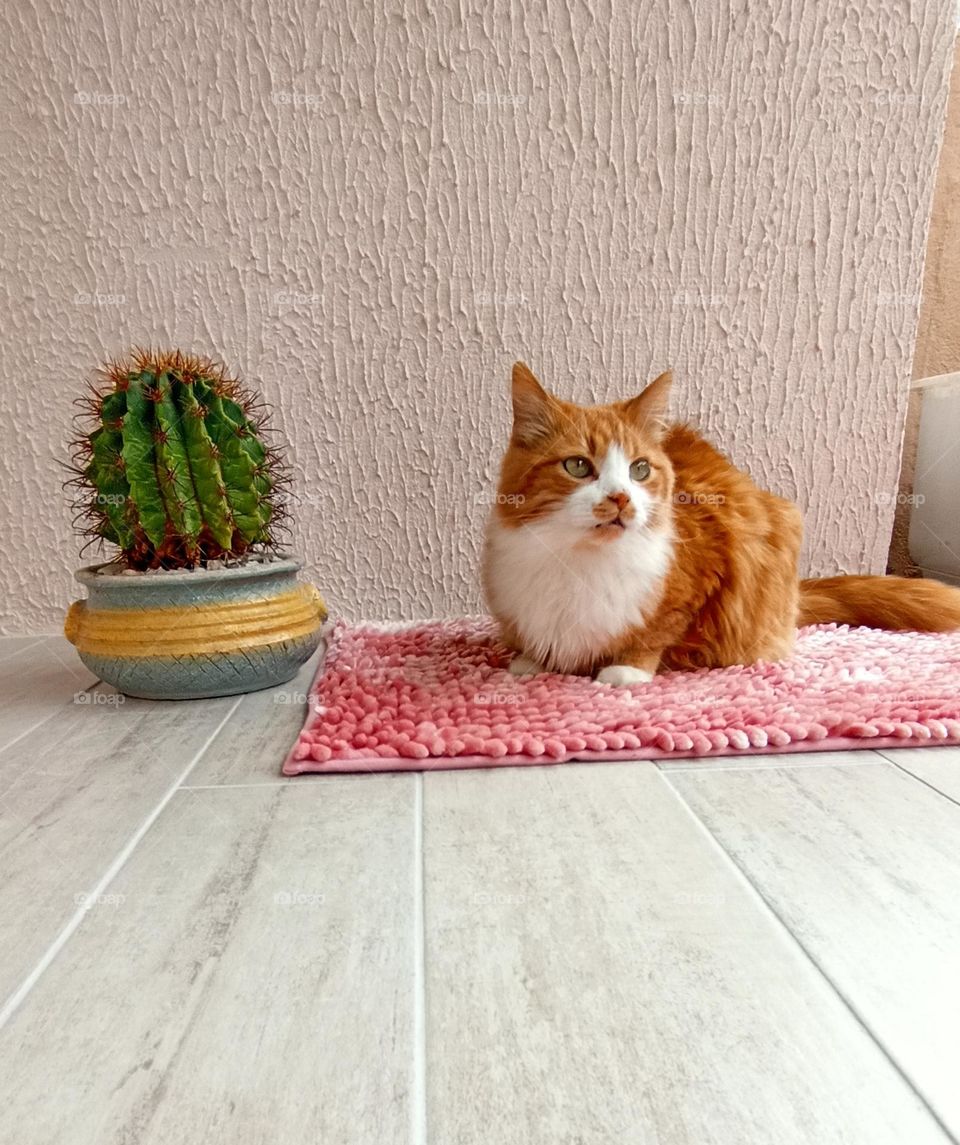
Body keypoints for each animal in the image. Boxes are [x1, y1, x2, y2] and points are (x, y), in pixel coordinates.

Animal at [485, 361, 960, 682]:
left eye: (640, 469)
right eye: (578, 466)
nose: (620, 498)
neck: (578, 559)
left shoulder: (701, 577)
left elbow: (651, 636)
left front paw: (625, 672)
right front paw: (532, 662)